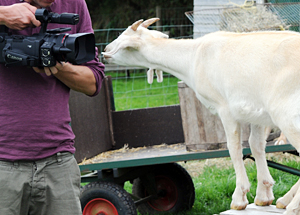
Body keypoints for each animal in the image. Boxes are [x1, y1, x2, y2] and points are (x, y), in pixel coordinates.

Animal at [102, 18, 300, 215]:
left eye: (123, 38)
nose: (105, 50)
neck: (193, 57)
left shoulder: (225, 108)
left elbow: (234, 148)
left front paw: (239, 198)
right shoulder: (255, 112)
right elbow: (256, 145)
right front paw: (263, 195)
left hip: (286, 115)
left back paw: (291, 207)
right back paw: (284, 200)